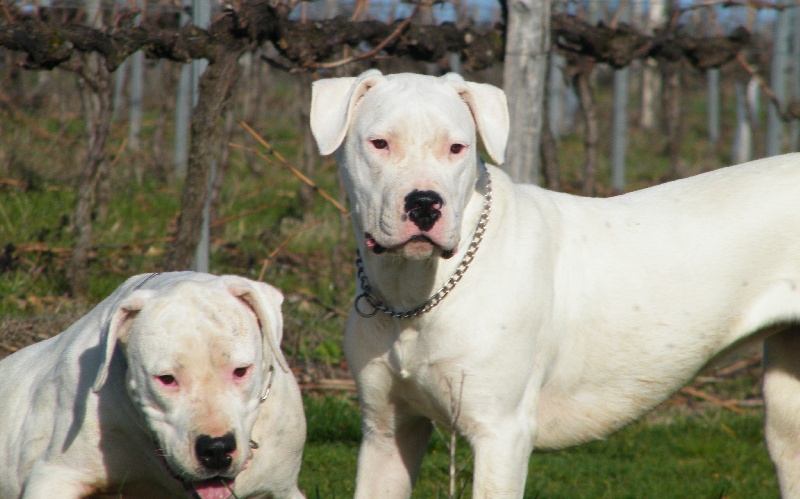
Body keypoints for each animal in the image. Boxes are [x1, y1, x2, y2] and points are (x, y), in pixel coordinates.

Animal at [310, 70, 800, 499]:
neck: (415, 292)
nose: (426, 204)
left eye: (456, 148)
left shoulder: (500, 433)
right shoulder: (386, 433)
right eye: (379, 143)